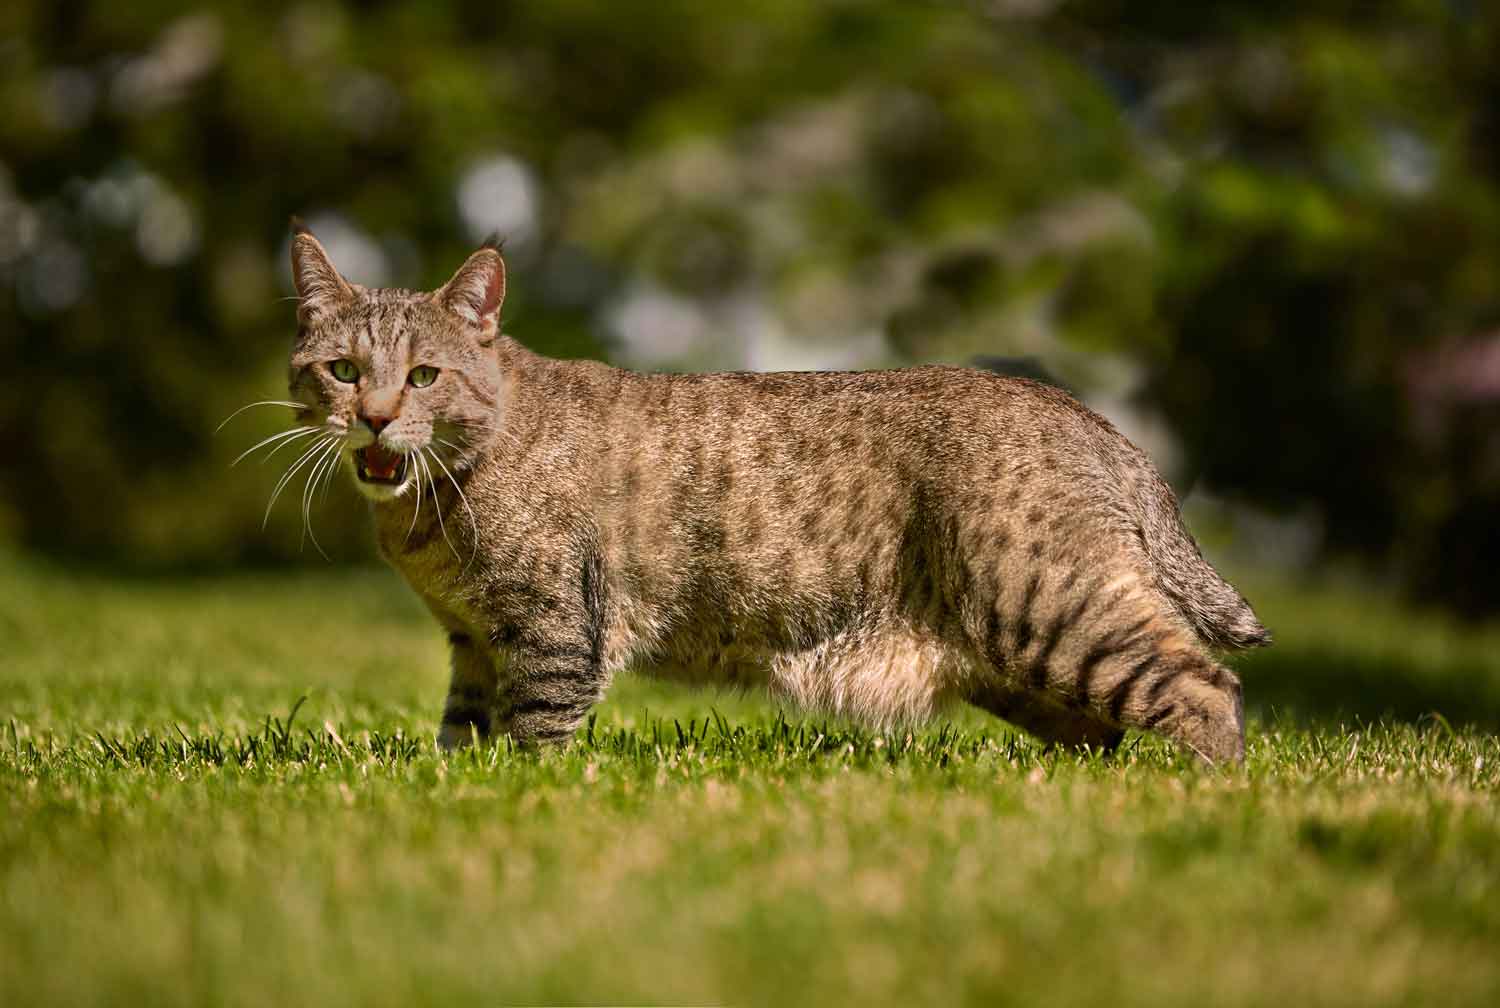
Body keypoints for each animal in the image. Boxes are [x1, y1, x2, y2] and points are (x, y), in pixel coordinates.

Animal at [273, 226, 1266, 765]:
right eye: (342, 370)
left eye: (425, 376)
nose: (373, 417)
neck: (430, 514)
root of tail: (1093, 418)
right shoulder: (474, 641)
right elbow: (461, 740)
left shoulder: (551, 629)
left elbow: (534, 738)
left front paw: (521, 793)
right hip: (1028, 668)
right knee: (1104, 730)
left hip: (1048, 606)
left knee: (1207, 686)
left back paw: (1197, 789)